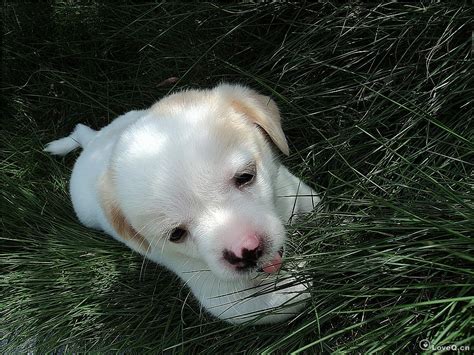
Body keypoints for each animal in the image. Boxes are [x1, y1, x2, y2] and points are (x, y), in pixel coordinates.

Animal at [45, 83, 318, 326]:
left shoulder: (295, 191)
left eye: (245, 177)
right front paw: (298, 275)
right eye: (176, 234)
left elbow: (315, 206)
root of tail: (94, 144)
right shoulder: (222, 297)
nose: (246, 251)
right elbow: (281, 302)